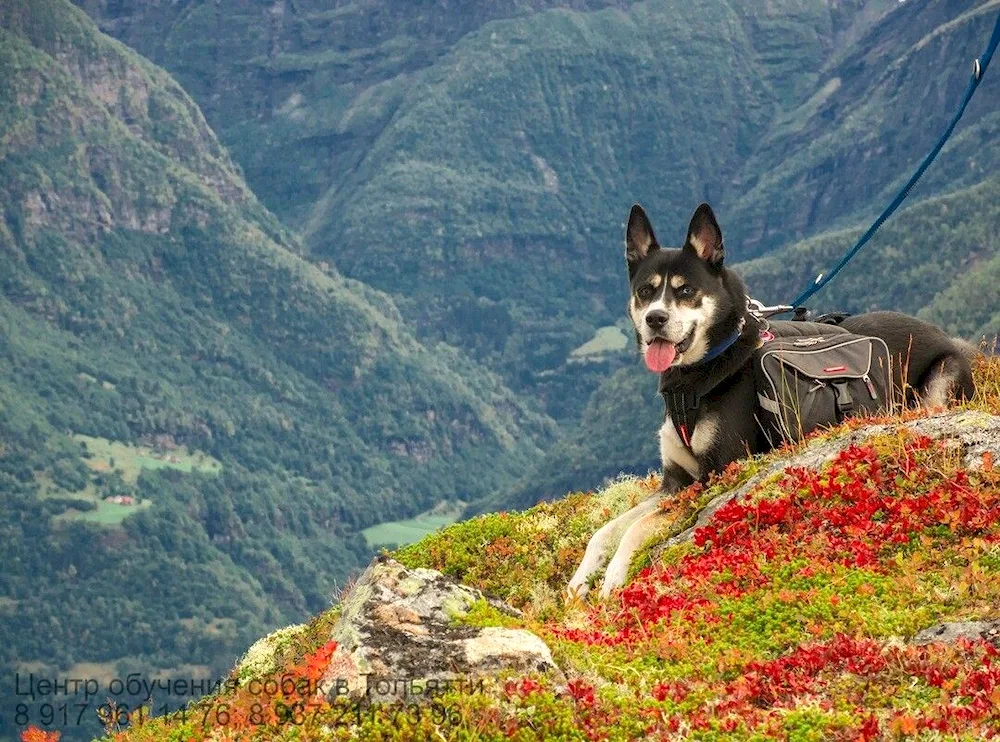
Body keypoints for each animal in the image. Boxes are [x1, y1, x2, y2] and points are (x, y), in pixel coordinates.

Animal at [572, 206, 976, 600]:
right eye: (645, 291)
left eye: (686, 290)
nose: (655, 318)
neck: (699, 375)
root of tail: (946, 336)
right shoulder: (674, 481)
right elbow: (608, 528)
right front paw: (581, 578)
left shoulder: (717, 473)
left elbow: (637, 526)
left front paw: (613, 577)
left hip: (941, 381)